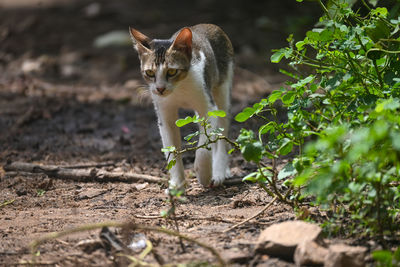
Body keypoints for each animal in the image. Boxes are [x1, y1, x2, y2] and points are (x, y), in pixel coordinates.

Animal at [130, 23, 233, 191]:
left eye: (172, 71)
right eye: (150, 73)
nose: (160, 88)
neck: (179, 88)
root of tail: (208, 25)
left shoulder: (209, 107)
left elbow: (204, 147)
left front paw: (204, 174)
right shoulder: (164, 115)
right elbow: (171, 150)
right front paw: (177, 184)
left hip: (222, 88)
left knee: (222, 133)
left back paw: (219, 172)